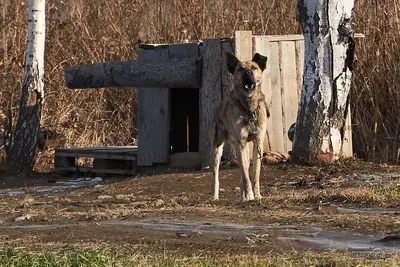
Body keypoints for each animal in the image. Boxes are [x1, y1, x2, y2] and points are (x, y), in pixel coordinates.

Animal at [212, 51, 268, 203]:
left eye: (254, 67)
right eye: (240, 69)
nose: (247, 72)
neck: (249, 109)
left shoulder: (257, 142)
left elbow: (254, 175)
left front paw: (256, 195)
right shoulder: (240, 143)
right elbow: (245, 176)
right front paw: (250, 196)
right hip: (218, 148)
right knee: (216, 174)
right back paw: (215, 196)